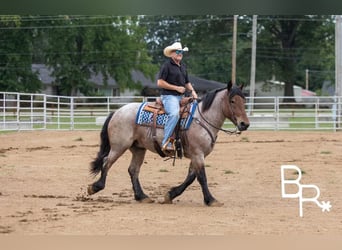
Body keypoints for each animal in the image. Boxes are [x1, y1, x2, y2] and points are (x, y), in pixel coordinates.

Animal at [87, 81, 250, 206]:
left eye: (244, 100)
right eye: (232, 101)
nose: (245, 124)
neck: (202, 119)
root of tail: (117, 112)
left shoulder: (197, 156)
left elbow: (190, 178)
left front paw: (170, 195)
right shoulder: (198, 154)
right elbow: (201, 177)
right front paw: (211, 200)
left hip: (138, 149)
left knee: (133, 170)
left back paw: (142, 196)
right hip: (119, 146)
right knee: (107, 162)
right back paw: (95, 187)